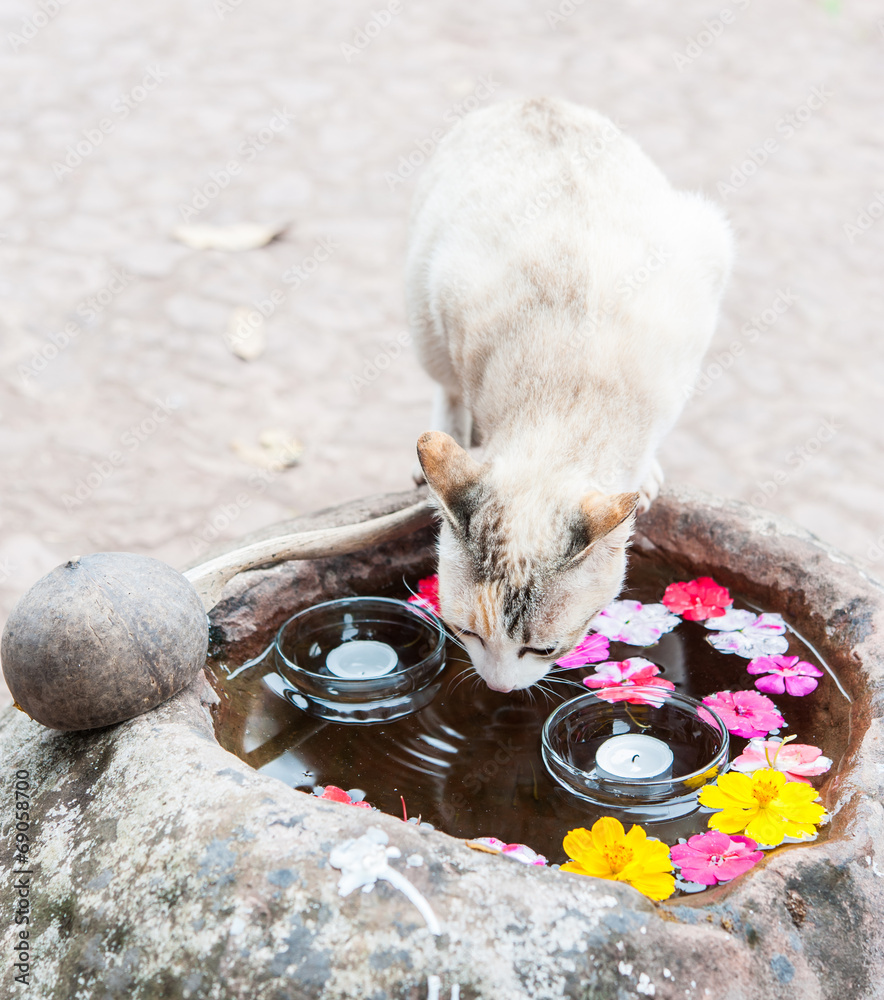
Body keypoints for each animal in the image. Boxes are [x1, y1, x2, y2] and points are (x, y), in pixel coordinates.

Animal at [406, 99, 732, 696]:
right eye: (466, 632)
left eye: (543, 648)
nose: (499, 688)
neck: (568, 396)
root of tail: (531, 99)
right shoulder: (446, 285)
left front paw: (646, 477)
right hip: (421, 299)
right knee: (445, 383)